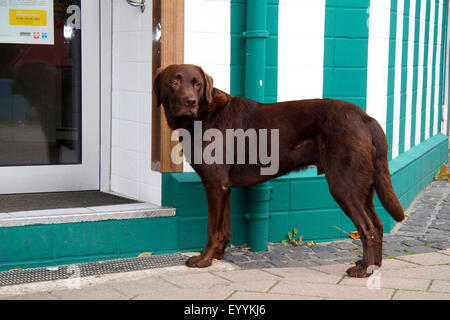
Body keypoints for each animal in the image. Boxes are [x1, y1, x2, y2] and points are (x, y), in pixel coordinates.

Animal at [155, 63, 404, 276]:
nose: (190, 101)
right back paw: (373, 266)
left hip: (344, 186)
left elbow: (212, 229)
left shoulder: (215, 184)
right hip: (364, 187)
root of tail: (366, 117)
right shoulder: (224, 186)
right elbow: (224, 228)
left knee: (368, 227)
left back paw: (363, 271)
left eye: (197, 84)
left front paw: (204, 260)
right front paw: (218, 256)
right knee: (378, 225)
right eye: (173, 82)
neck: (204, 115)